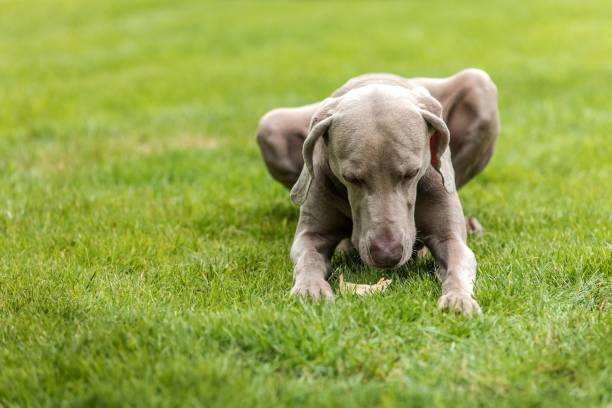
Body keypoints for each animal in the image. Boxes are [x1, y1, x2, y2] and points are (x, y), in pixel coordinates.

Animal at [256, 68, 500, 314]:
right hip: (270, 127)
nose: (387, 255)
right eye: (351, 178)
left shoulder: (448, 235)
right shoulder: (311, 233)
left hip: (479, 87)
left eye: (411, 173)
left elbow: (458, 260)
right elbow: (308, 256)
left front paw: (458, 299)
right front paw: (309, 288)